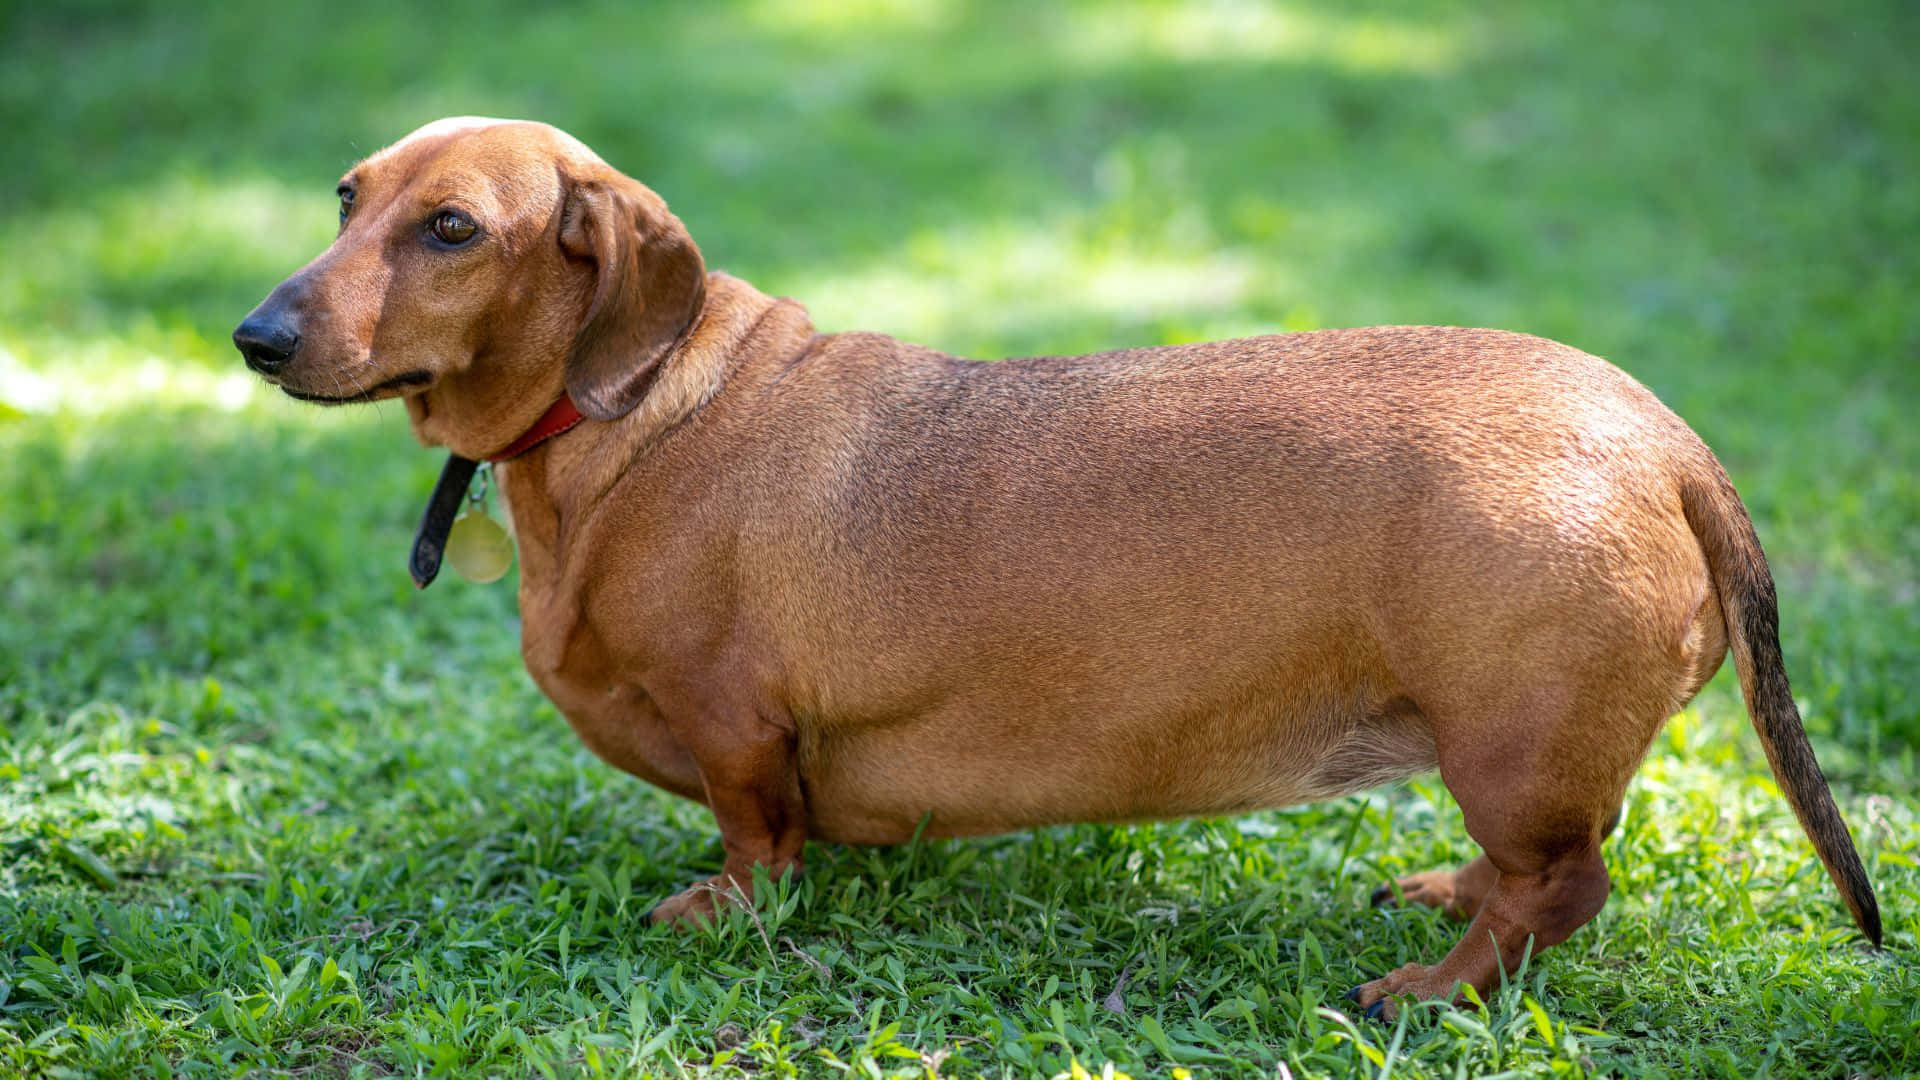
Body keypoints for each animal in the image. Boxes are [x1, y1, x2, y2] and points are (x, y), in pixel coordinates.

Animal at [232, 117, 1881, 1006]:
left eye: (453, 229)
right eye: (347, 198)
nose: (253, 336)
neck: (634, 419)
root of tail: (1662, 435)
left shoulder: (736, 728)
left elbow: (759, 842)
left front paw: (720, 912)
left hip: (1511, 744)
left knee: (1566, 887)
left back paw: (1430, 991)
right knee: (1538, 869)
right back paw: (1441, 898)